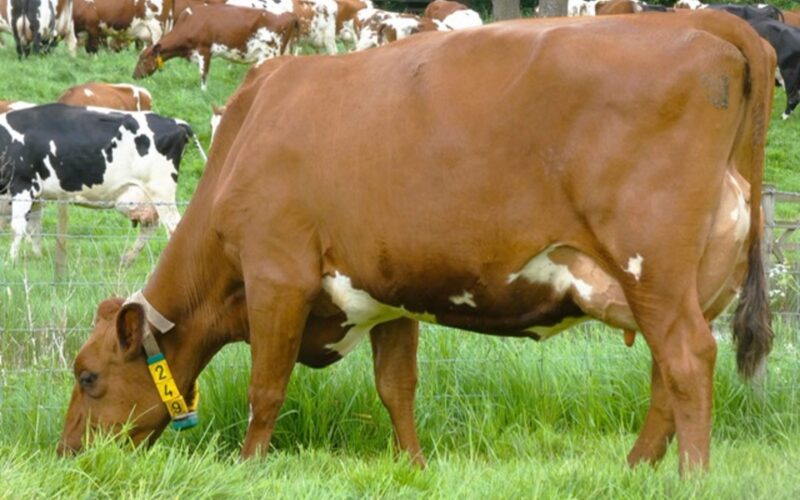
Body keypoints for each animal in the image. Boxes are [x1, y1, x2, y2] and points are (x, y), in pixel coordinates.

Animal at [0, 103, 195, 265]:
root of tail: (174, 122)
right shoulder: (37, 195)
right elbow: (34, 228)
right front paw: (37, 257)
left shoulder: (23, 185)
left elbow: (17, 227)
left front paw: (11, 262)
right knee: (150, 227)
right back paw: (126, 259)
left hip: (161, 192)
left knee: (173, 227)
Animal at [132, 5, 299, 90]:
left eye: (143, 60)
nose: (133, 76)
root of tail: (289, 14)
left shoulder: (205, 50)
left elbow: (203, 75)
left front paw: (203, 92)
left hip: (272, 52)